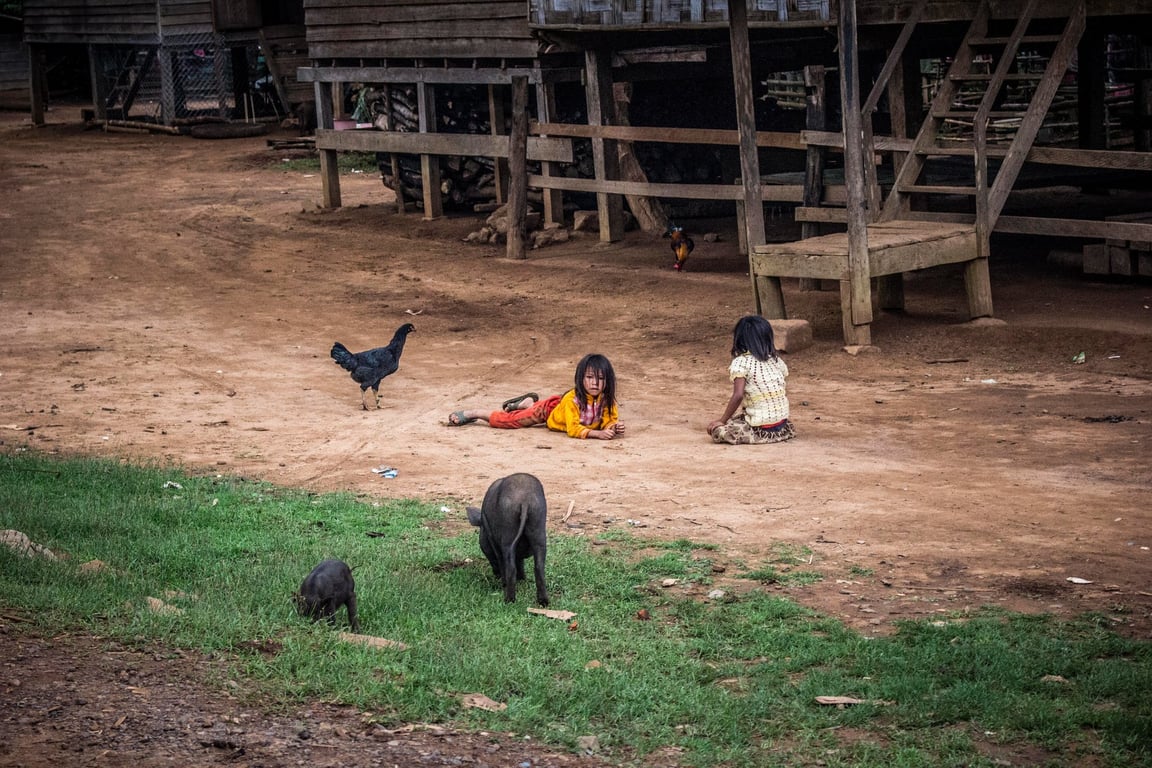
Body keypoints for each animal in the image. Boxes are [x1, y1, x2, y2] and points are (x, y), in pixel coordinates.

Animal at [467, 474, 548, 607]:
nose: (496, 575)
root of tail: (525, 499)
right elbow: (520, 561)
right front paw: (522, 580)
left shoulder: (492, 539)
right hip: (538, 526)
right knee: (539, 567)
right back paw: (543, 602)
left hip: (508, 532)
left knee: (510, 567)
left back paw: (509, 600)